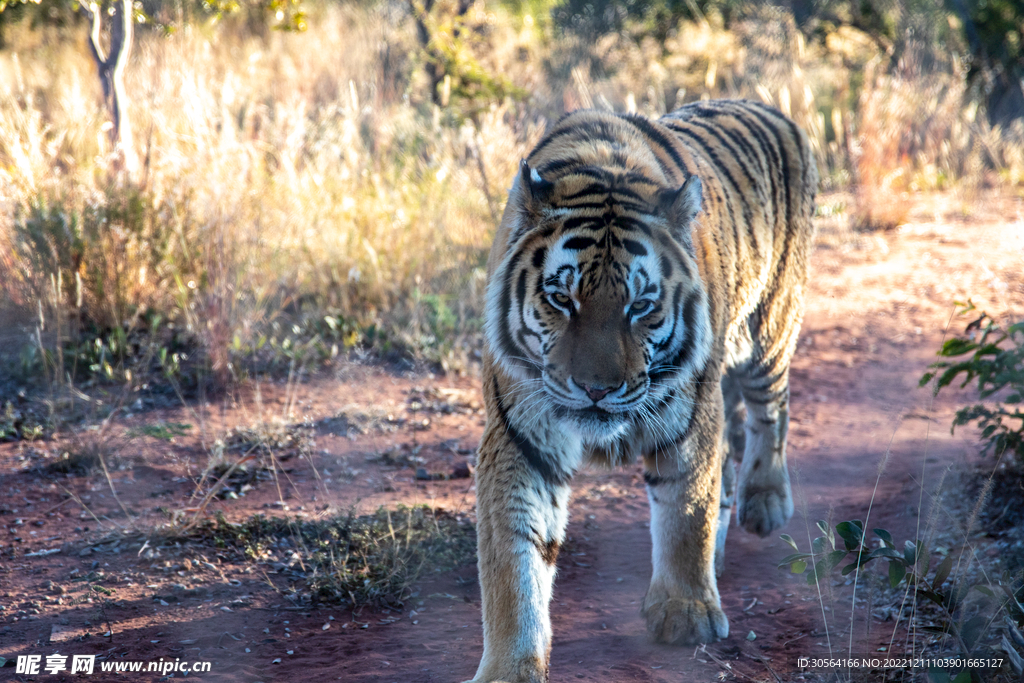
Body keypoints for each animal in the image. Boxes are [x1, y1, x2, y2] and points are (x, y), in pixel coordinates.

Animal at [467, 98, 817, 683]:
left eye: (640, 306)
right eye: (562, 299)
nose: (596, 389)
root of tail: (769, 106)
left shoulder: (690, 410)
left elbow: (686, 511)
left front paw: (686, 612)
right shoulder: (520, 434)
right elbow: (515, 559)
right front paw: (510, 667)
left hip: (769, 327)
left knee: (772, 408)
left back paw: (765, 501)